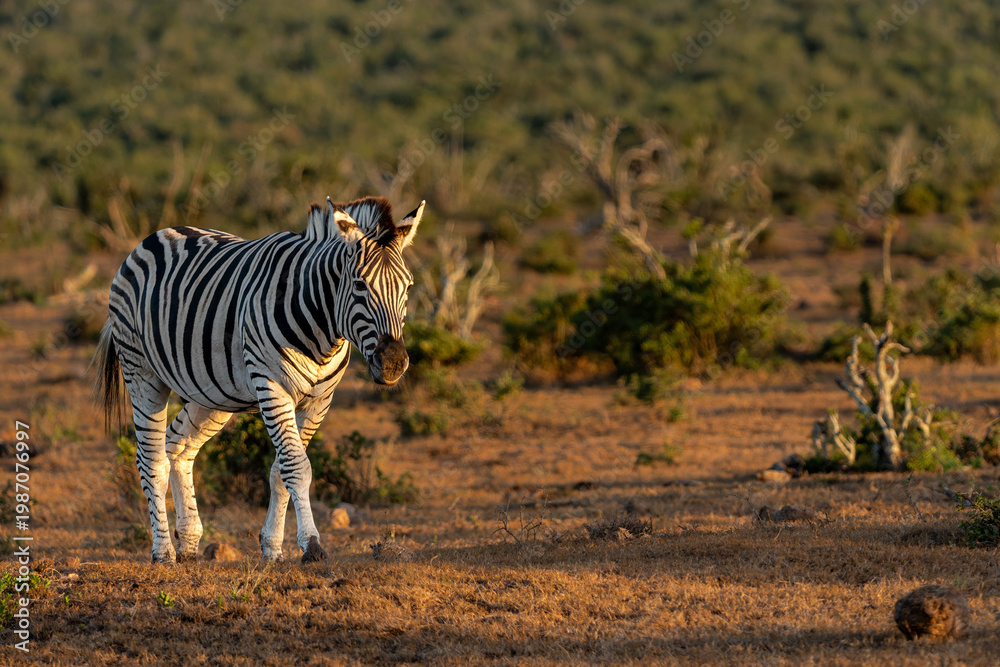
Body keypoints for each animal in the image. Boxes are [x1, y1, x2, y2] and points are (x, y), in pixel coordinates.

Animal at [94, 196, 423, 564]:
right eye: (359, 285)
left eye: (409, 287)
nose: (393, 363)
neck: (323, 331)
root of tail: (154, 236)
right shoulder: (272, 387)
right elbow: (296, 467)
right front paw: (312, 545)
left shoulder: (321, 400)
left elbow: (281, 471)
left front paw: (272, 548)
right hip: (142, 372)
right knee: (151, 458)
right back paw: (163, 552)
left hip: (213, 393)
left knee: (178, 447)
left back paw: (189, 542)